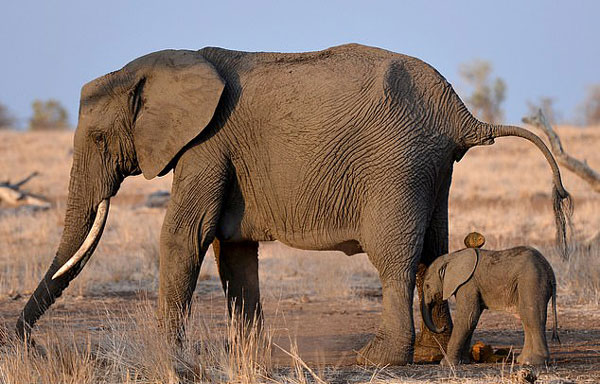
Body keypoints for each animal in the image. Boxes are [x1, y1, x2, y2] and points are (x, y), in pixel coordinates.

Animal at [422, 234, 556, 366]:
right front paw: (464, 361)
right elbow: (471, 320)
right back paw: (523, 360)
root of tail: (550, 271)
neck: (452, 257)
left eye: (427, 286)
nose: (443, 327)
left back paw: (535, 362)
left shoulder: (468, 283)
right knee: (526, 316)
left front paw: (446, 363)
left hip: (532, 280)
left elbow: (467, 317)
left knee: (531, 315)